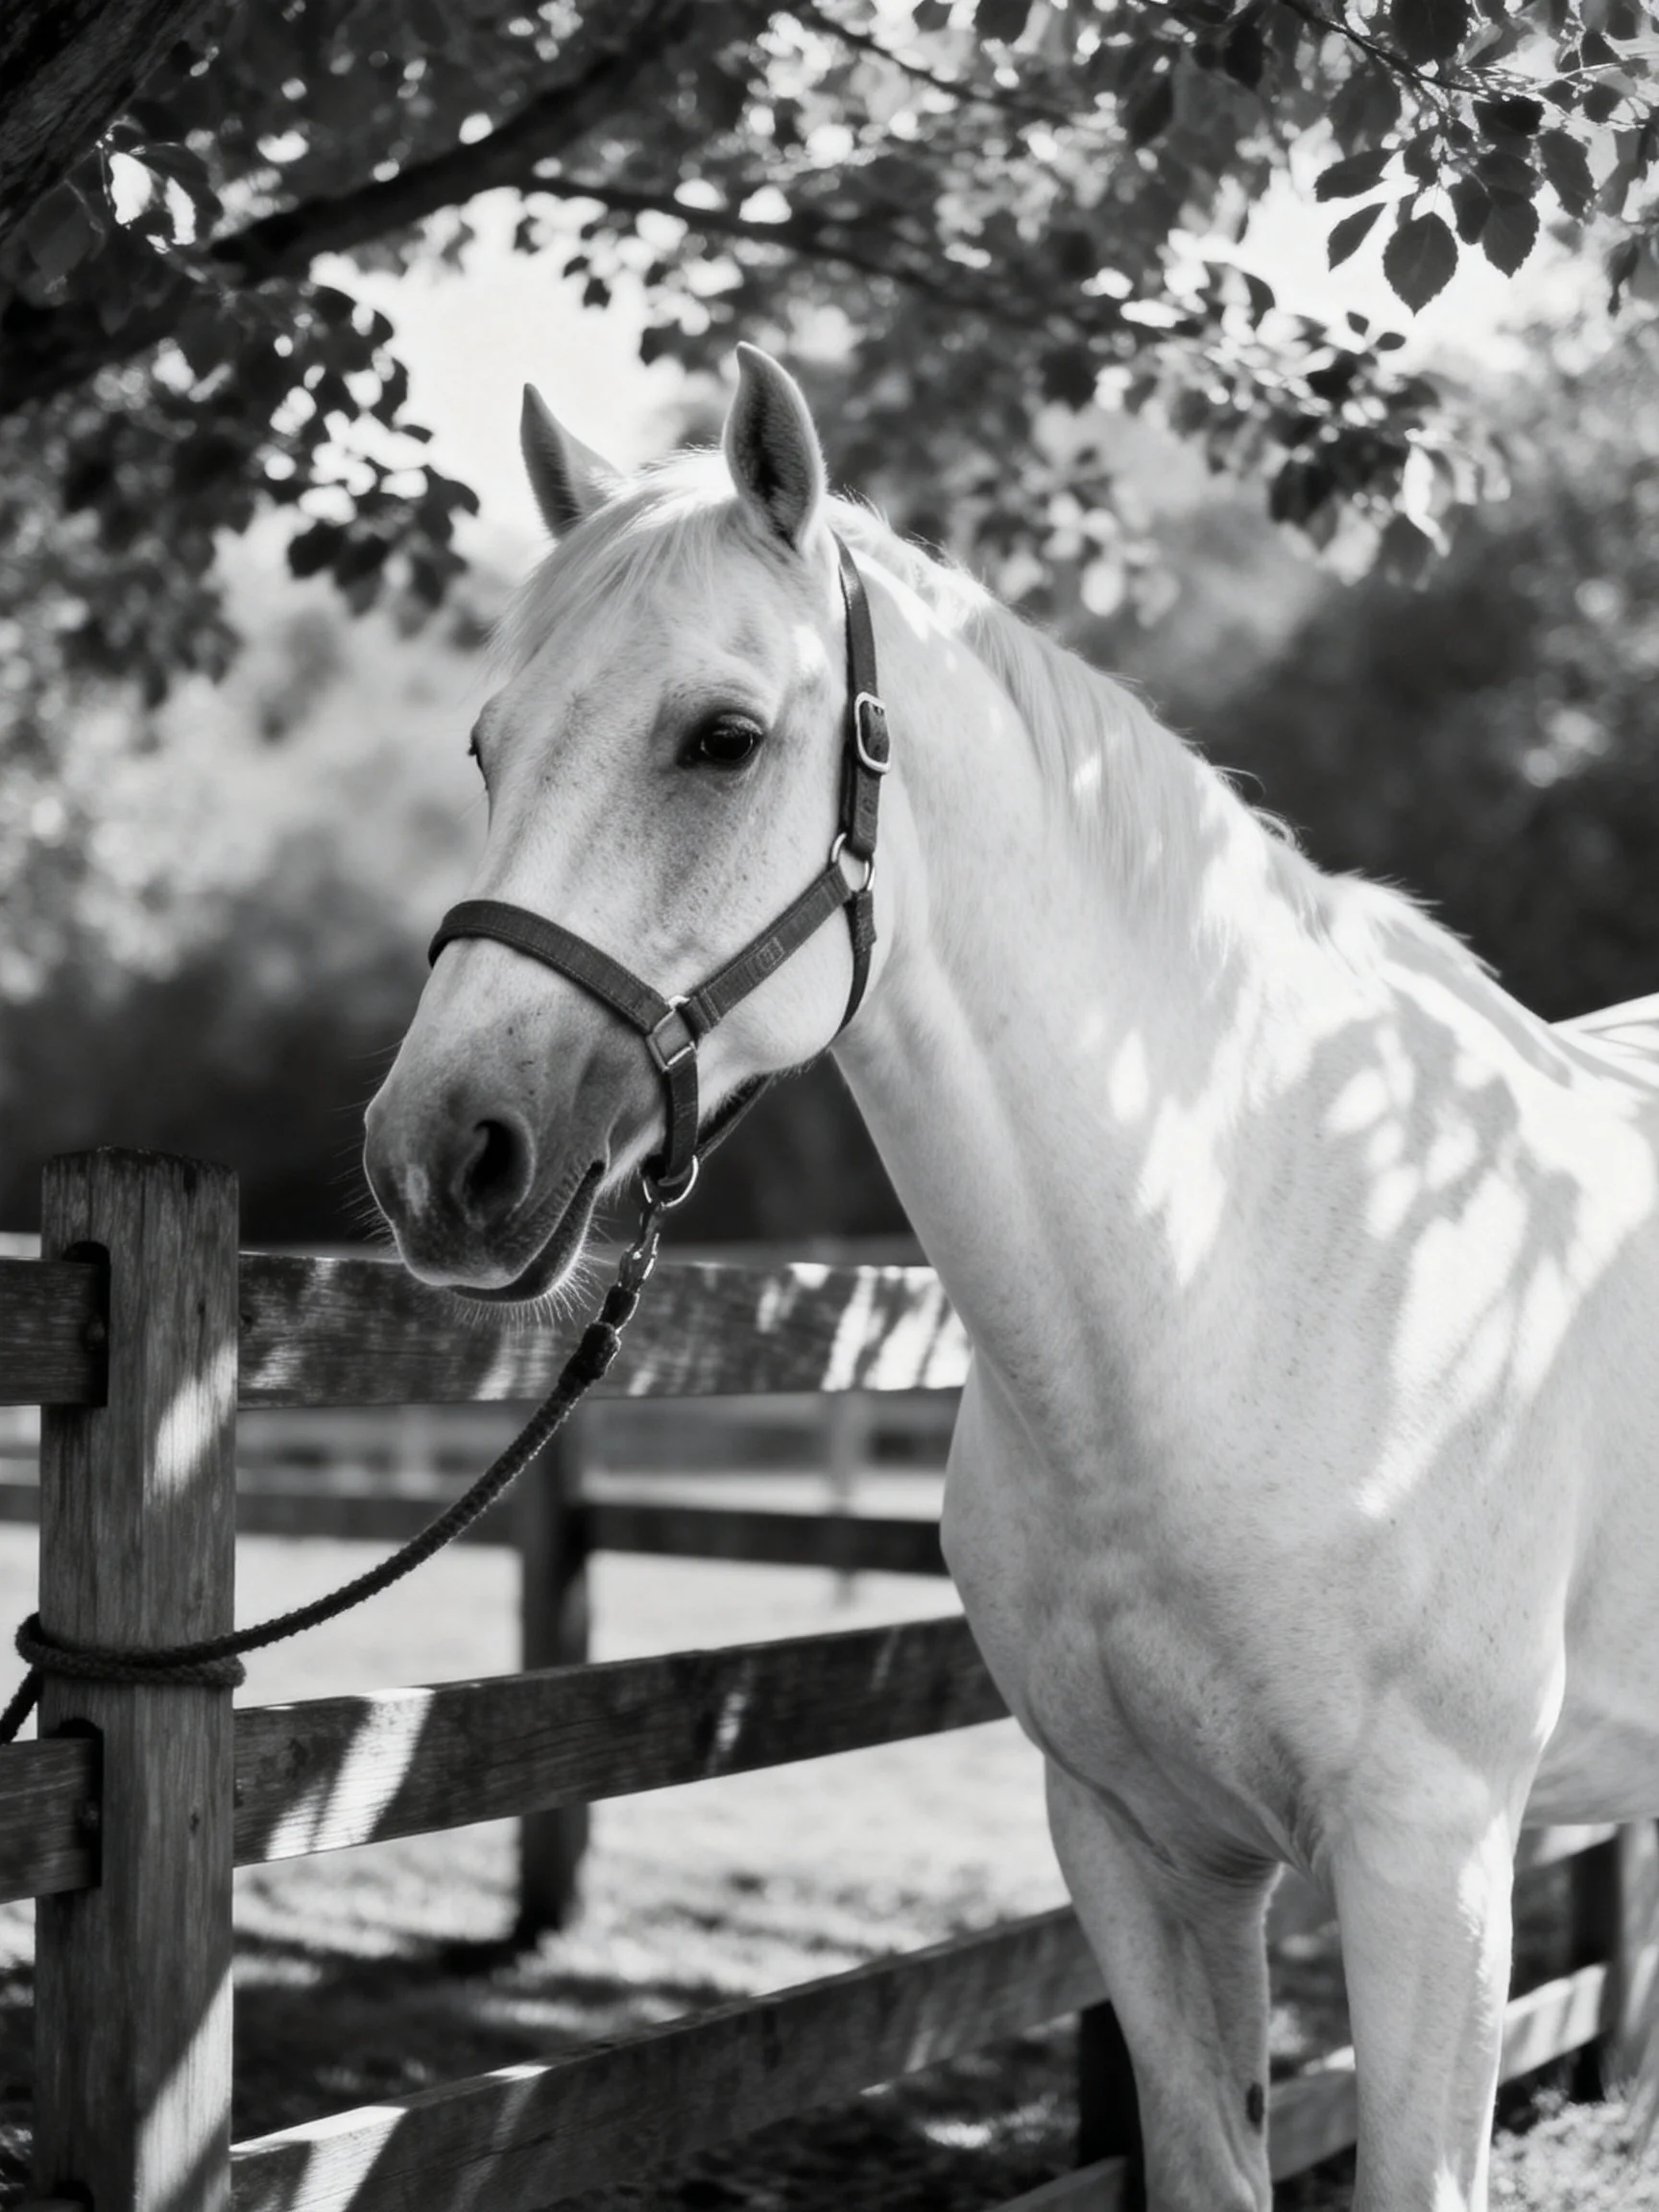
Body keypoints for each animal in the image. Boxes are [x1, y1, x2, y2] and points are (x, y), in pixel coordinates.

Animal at [363, 344, 1659, 2211]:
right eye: (487, 745)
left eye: (721, 739)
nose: (435, 1158)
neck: (1245, 1281)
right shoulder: (1135, 1845)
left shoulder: (1434, 1866)